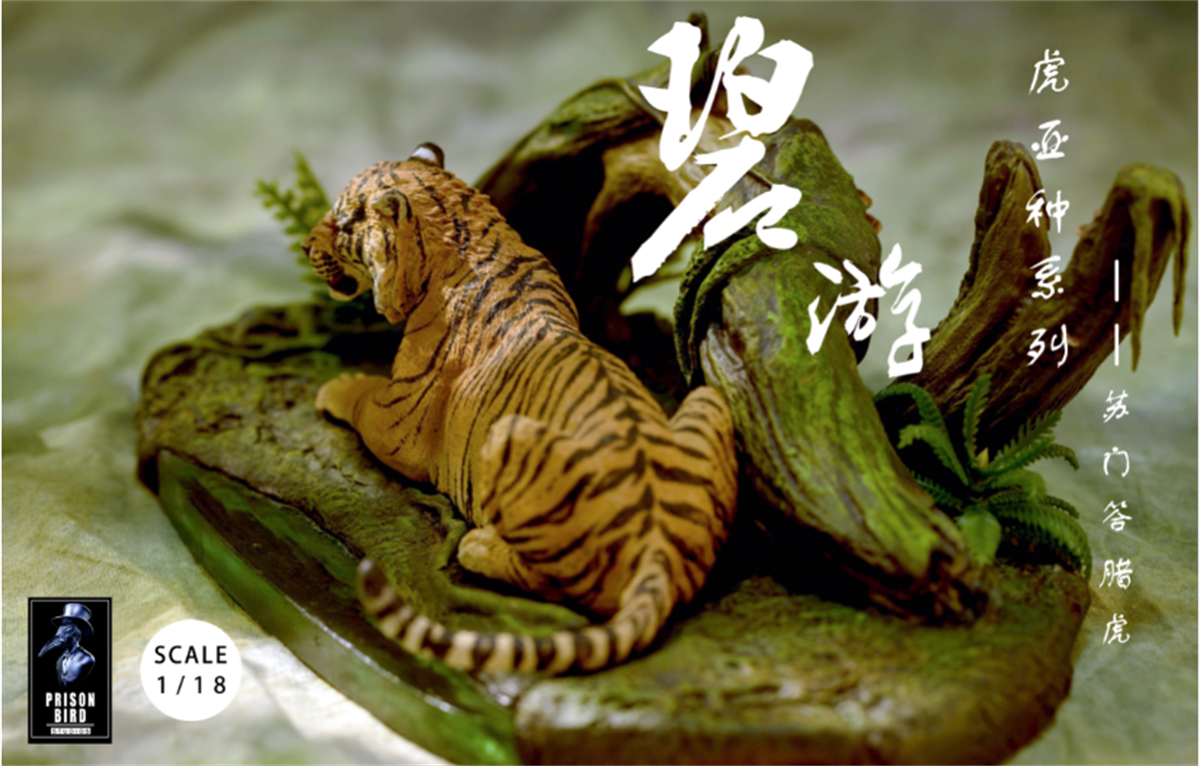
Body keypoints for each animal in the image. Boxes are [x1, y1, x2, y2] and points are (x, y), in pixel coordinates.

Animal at [303, 143, 739, 674]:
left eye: (344, 221)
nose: (303, 245)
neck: (467, 232)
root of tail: (657, 546)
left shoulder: (397, 421)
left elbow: (362, 397)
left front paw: (334, 387)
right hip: (708, 401)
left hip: (509, 438)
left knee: (552, 583)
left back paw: (477, 545)